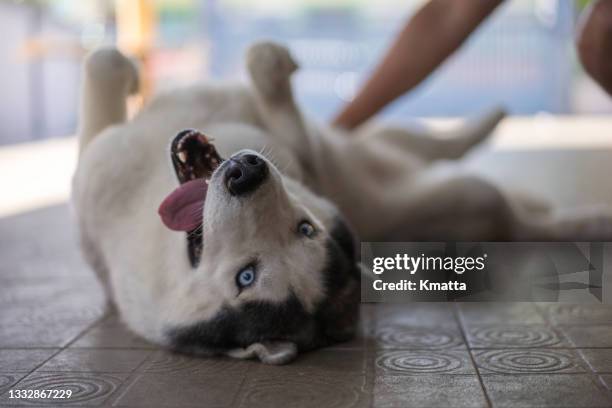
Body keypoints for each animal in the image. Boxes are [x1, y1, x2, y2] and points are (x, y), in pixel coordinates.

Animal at [73, 41, 612, 364]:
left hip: (438, 179)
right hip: (428, 170)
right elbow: (101, 67)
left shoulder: (304, 152)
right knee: (459, 168)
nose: (247, 172)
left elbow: (290, 123)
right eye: (246, 277)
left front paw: (267, 73)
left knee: (480, 185)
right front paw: (127, 73)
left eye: (304, 229)